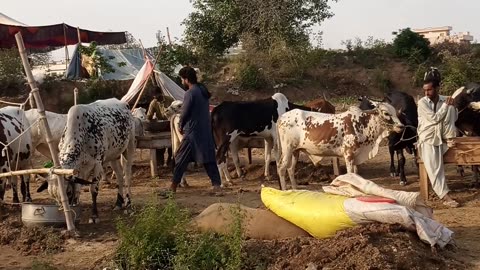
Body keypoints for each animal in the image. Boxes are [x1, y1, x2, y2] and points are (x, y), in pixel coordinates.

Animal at [276, 103, 404, 190]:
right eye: (386, 113)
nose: (401, 126)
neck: (362, 124)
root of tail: (281, 117)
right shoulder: (348, 155)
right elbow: (350, 174)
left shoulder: (356, 156)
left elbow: (356, 174)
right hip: (287, 149)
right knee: (282, 168)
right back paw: (285, 190)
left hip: (295, 151)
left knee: (290, 169)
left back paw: (295, 189)